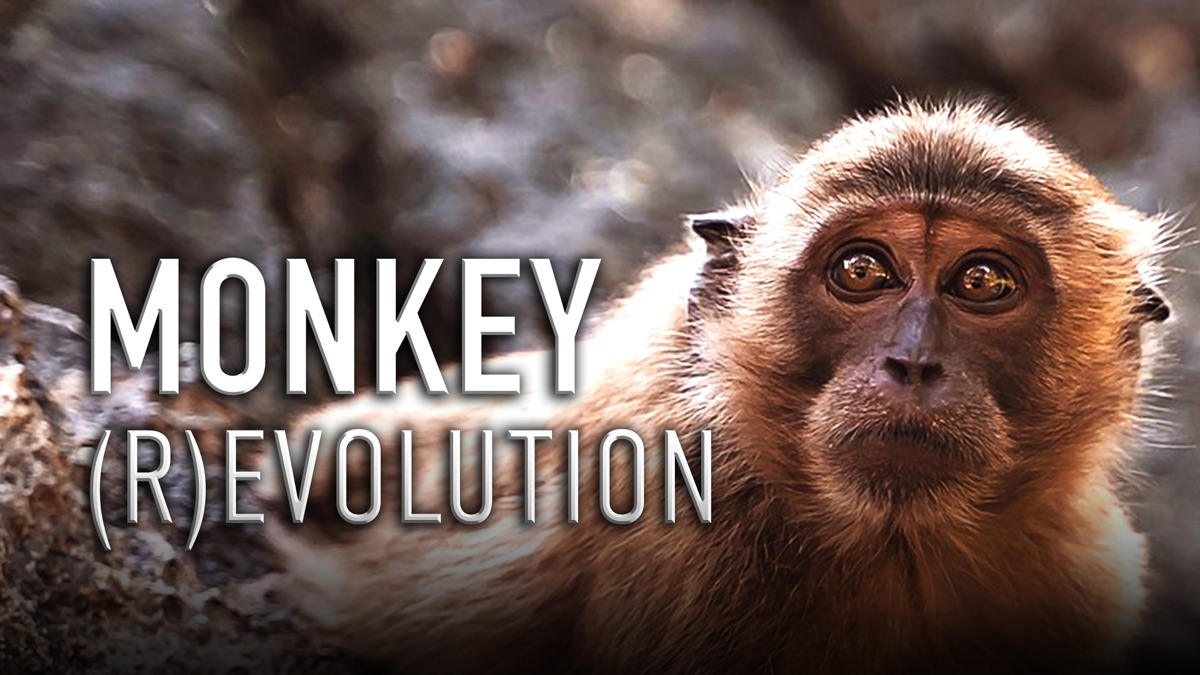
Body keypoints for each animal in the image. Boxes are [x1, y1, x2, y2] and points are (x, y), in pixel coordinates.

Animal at [260, 100, 1172, 674]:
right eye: (862, 270)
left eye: (982, 281)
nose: (914, 363)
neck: (896, 542)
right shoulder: (688, 538)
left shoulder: (1078, 576)